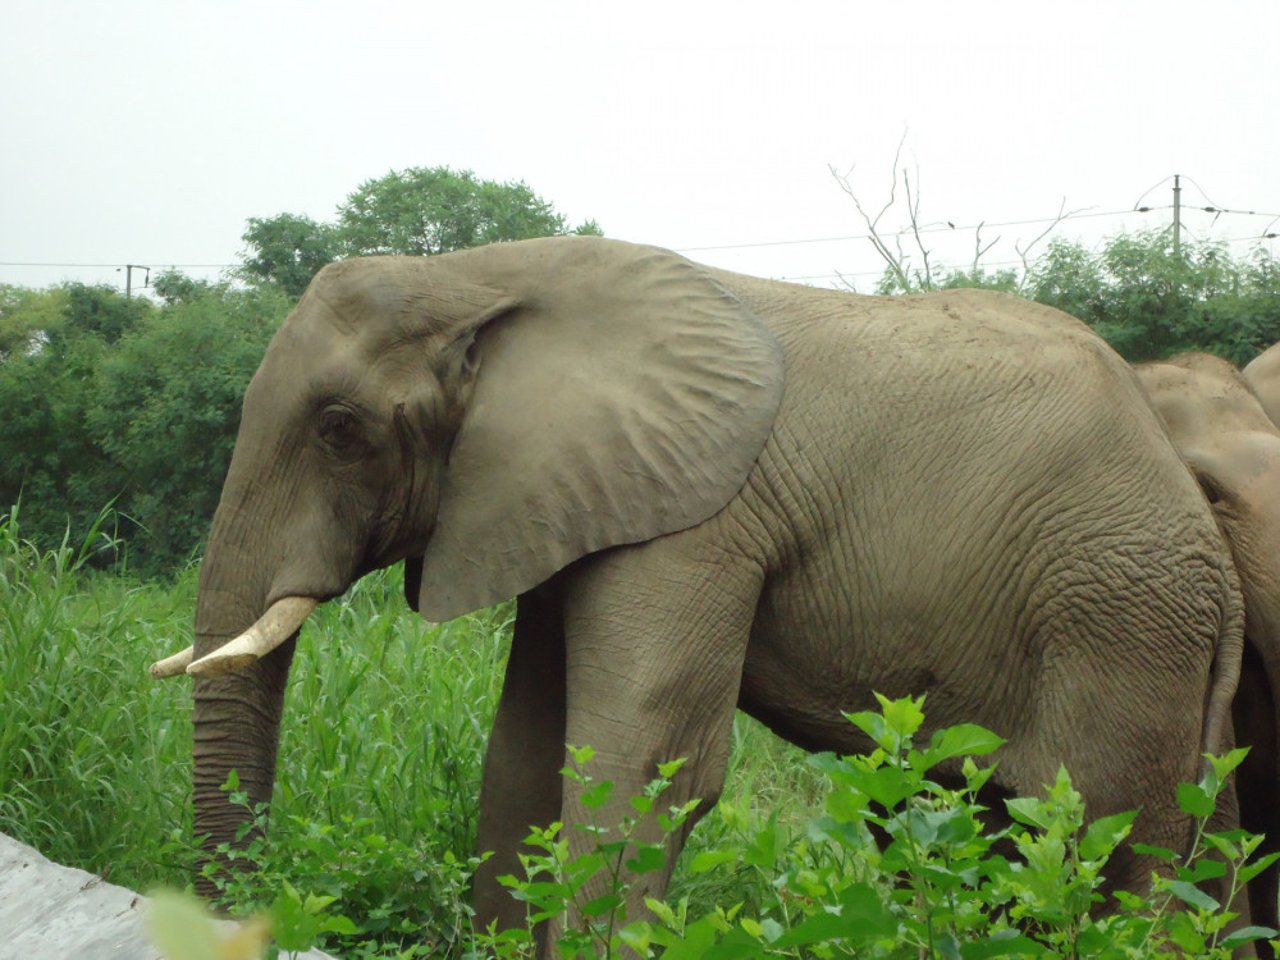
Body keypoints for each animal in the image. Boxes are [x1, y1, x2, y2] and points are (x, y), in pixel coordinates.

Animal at [147, 236, 1239, 942]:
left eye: (339, 429)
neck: (483, 274)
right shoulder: (567, 502)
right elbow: (526, 758)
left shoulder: (695, 524)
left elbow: (640, 766)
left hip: (1121, 623)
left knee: (1105, 847)